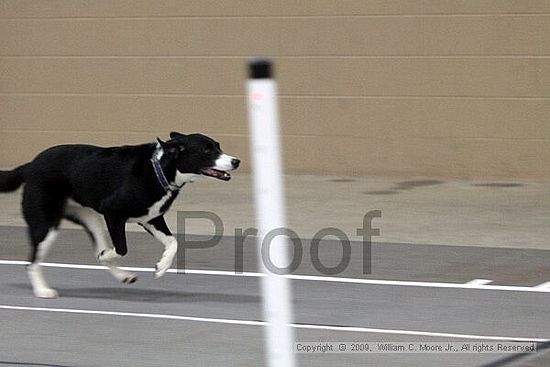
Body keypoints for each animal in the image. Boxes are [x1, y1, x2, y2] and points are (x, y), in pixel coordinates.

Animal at [0, 132, 239, 300]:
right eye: (207, 150)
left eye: (218, 146)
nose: (236, 161)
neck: (160, 169)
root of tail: (31, 166)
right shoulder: (112, 211)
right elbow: (122, 248)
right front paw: (108, 254)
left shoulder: (151, 218)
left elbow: (173, 242)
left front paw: (161, 267)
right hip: (46, 222)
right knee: (32, 261)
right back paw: (43, 290)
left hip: (90, 217)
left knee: (95, 246)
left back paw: (124, 275)